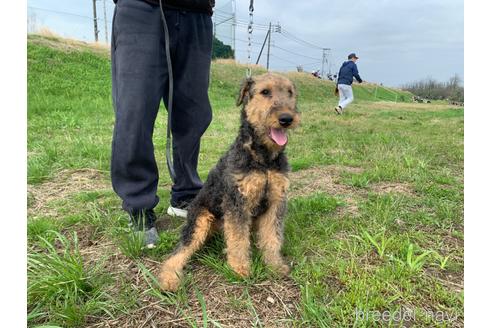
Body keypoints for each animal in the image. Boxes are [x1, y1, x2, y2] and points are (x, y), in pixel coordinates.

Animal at [160, 73, 302, 290]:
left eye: (290, 92)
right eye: (265, 92)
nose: (286, 119)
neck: (263, 159)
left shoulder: (275, 202)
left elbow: (272, 237)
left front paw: (275, 265)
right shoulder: (237, 202)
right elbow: (237, 240)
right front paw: (240, 269)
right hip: (201, 221)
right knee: (180, 251)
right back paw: (169, 278)